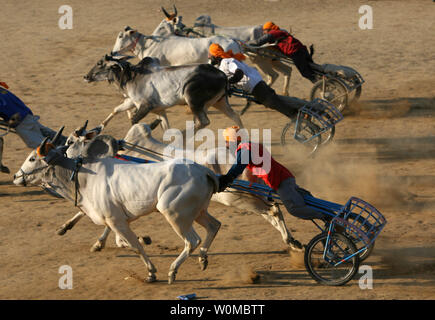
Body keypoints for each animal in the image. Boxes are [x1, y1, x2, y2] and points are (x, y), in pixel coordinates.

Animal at [13, 130, 221, 284]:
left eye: (32, 159)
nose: (16, 176)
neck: (83, 176)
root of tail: (203, 170)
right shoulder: (117, 221)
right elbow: (126, 242)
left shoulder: (115, 221)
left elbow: (135, 245)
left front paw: (151, 273)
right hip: (198, 213)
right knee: (214, 225)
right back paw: (203, 258)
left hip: (175, 215)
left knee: (192, 241)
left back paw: (173, 271)